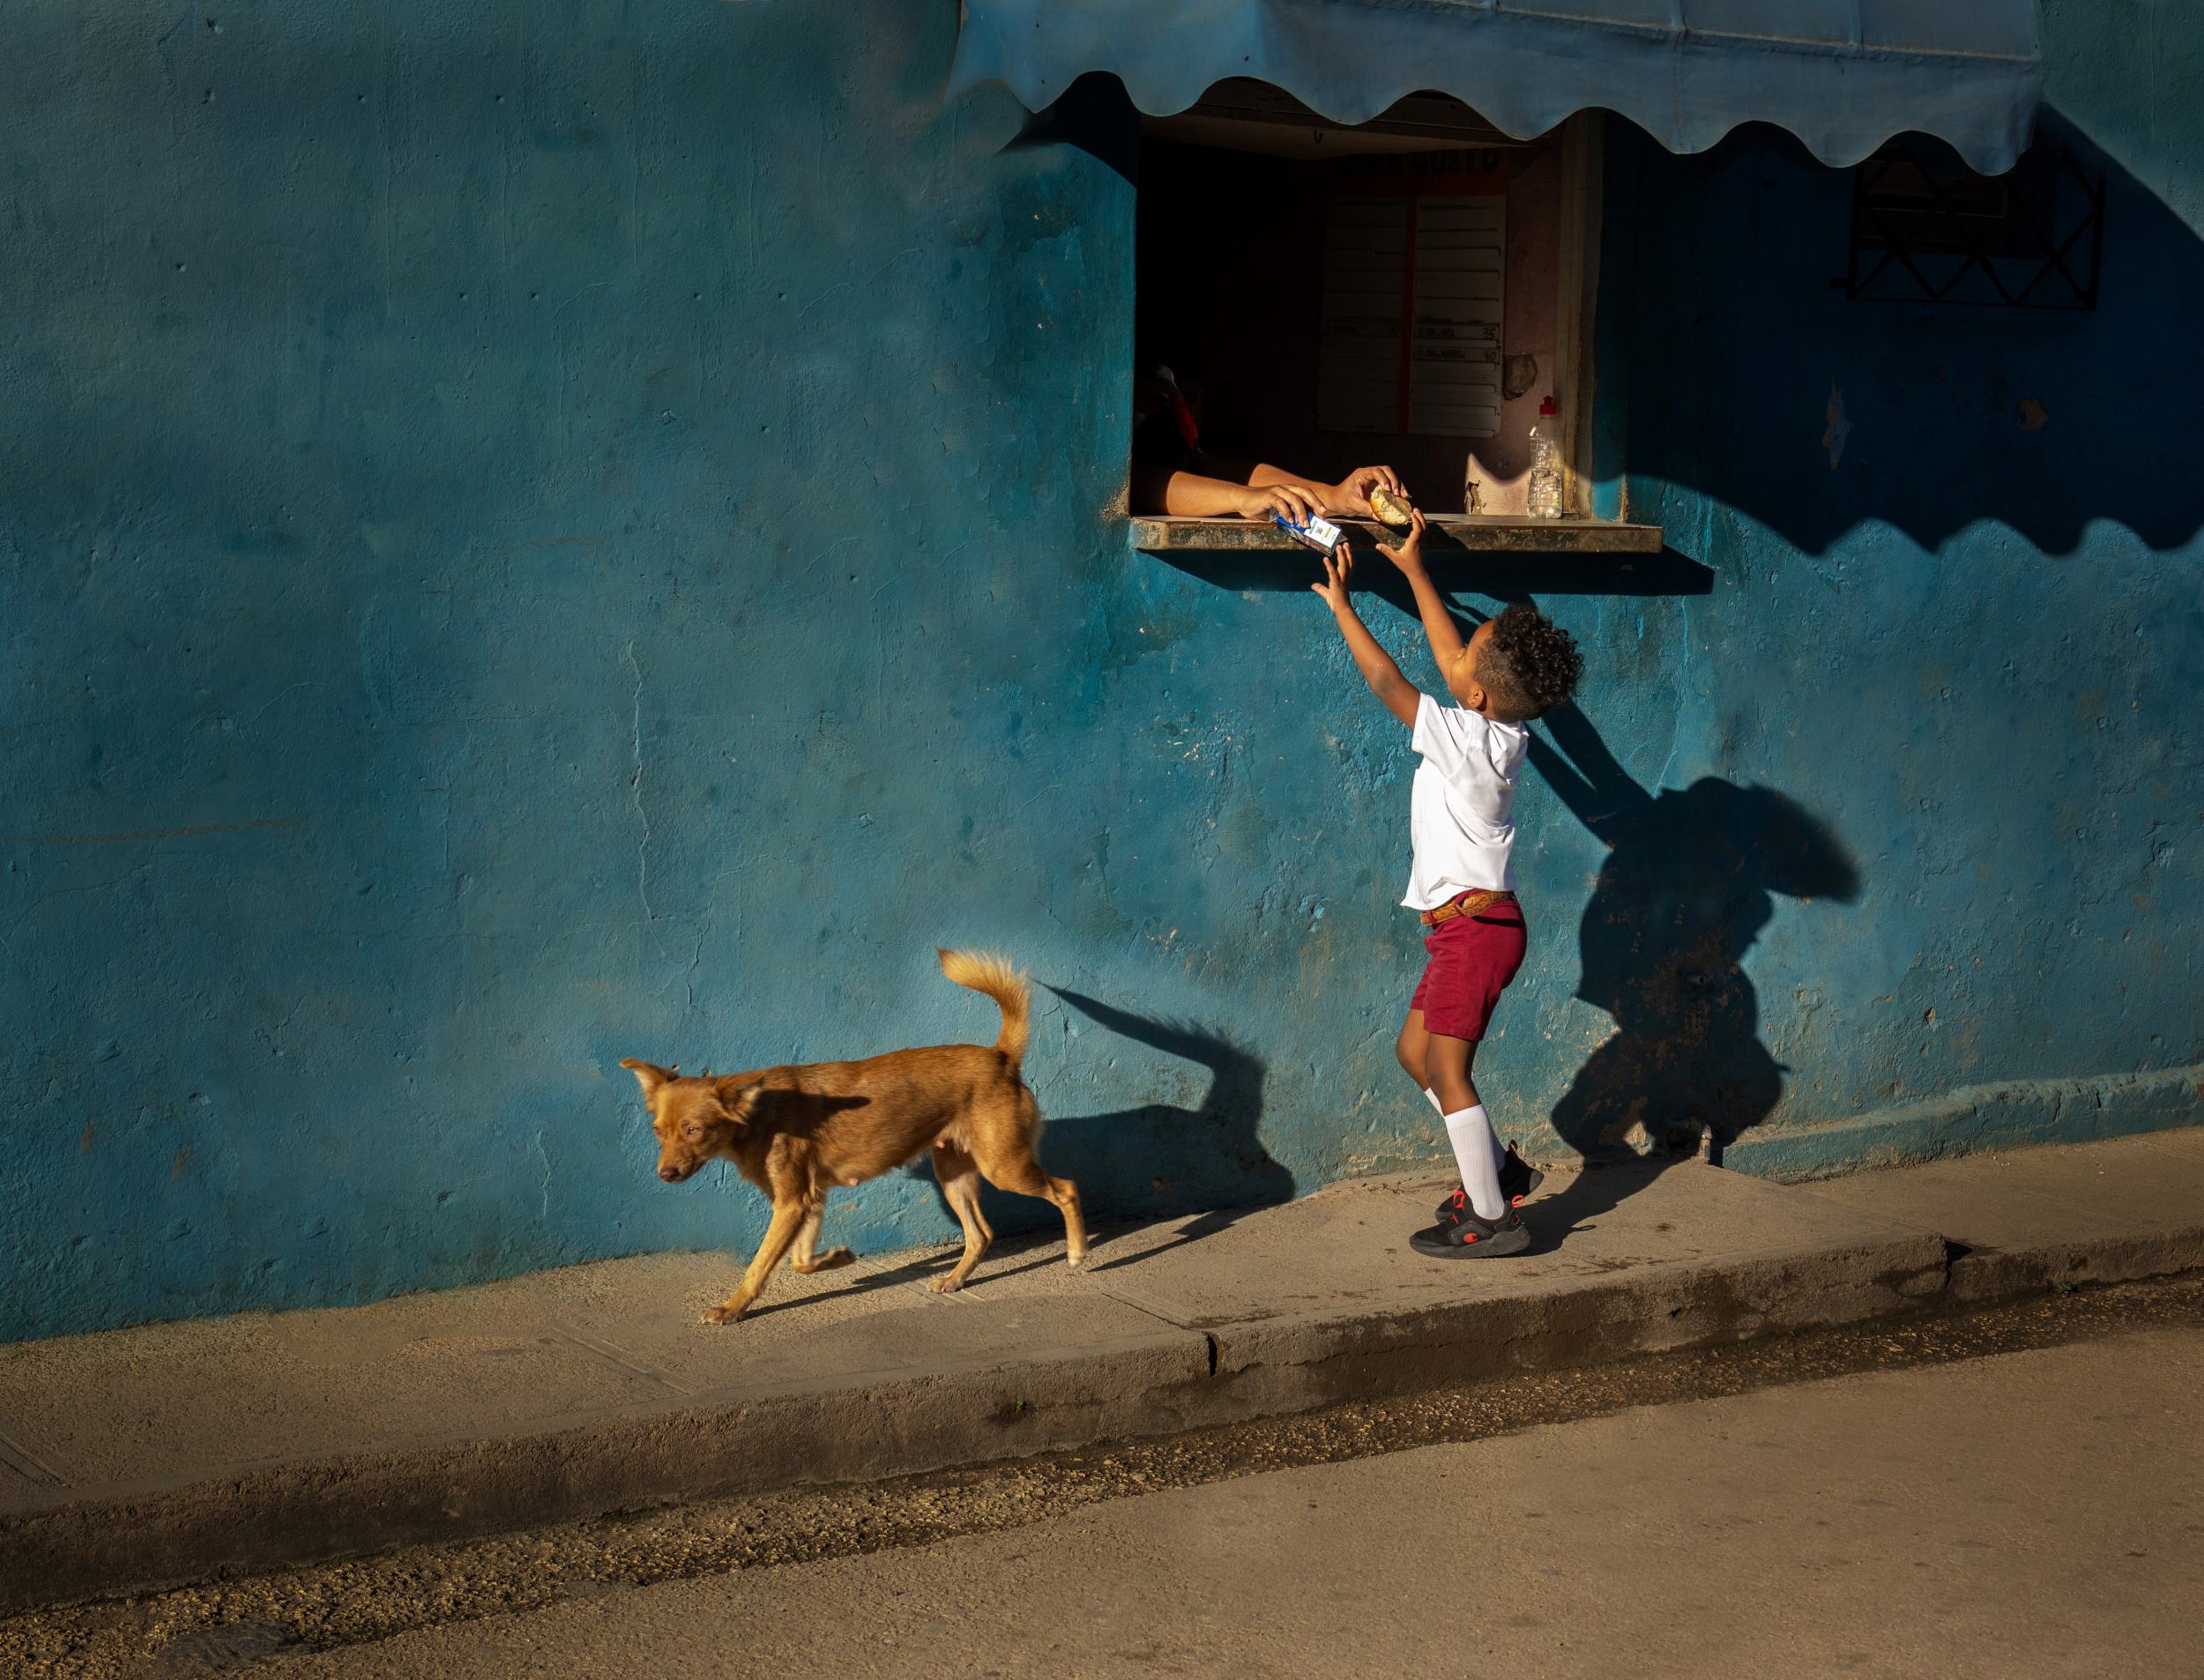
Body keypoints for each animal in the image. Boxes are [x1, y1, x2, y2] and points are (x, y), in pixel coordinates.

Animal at [621, 949, 1087, 1324]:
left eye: (694, 1130)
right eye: (658, 1131)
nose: (664, 1174)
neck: (759, 1115)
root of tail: (1000, 1056)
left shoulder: (791, 1203)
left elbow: (760, 1265)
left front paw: (732, 1308)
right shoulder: (807, 1200)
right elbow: (799, 1260)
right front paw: (836, 1258)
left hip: (1003, 1165)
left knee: (1066, 1189)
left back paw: (1077, 1253)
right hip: (954, 1173)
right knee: (981, 1235)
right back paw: (953, 1280)